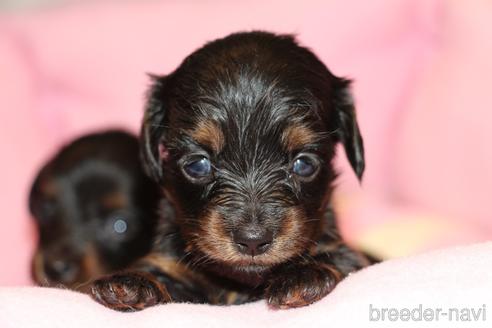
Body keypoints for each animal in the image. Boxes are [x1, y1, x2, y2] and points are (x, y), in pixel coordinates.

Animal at [90, 30, 370, 310]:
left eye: (304, 164)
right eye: (198, 165)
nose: (253, 239)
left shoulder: (350, 256)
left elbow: (338, 259)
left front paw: (303, 276)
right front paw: (131, 284)